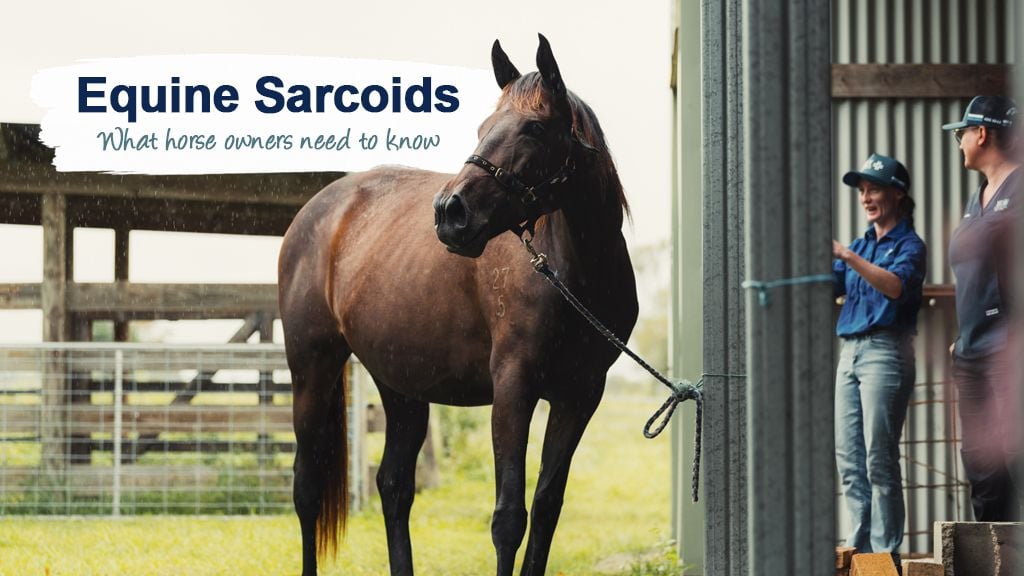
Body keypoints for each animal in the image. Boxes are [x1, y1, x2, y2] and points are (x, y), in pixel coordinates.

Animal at [278, 34, 638, 576]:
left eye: (534, 127)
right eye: (483, 128)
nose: (450, 212)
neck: (571, 274)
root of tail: (316, 211)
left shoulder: (580, 396)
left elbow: (546, 509)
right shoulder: (513, 386)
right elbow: (509, 517)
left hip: (400, 385)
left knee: (393, 487)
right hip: (311, 368)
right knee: (307, 487)